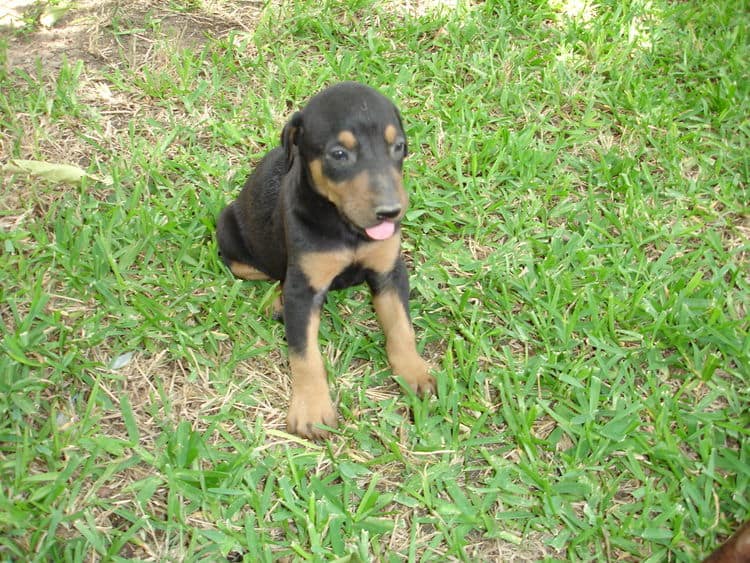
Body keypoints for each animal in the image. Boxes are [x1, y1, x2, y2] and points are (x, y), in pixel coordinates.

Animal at [216, 81, 434, 440]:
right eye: (339, 154)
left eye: (398, 146)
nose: (390, 212)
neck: (345, 226)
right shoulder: (305, 286)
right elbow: (305, 354)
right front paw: (311, 410)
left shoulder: (389, 271)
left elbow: (401, 325)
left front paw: (414, 371)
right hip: (229, 235)